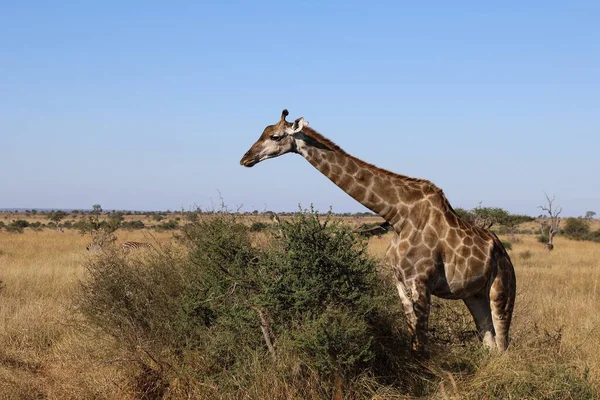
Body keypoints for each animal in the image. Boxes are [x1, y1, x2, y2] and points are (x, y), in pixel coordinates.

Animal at [241, 108, 516, 354]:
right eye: (263, 133)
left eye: (275, 136)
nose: (245, 158)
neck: (398, 216)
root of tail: (504, 254)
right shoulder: (400, 283)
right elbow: (413, 340)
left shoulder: (421, 281)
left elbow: (422, 344)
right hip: (474, 295)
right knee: (490, 344)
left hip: (501, 291)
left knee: (503, 344)